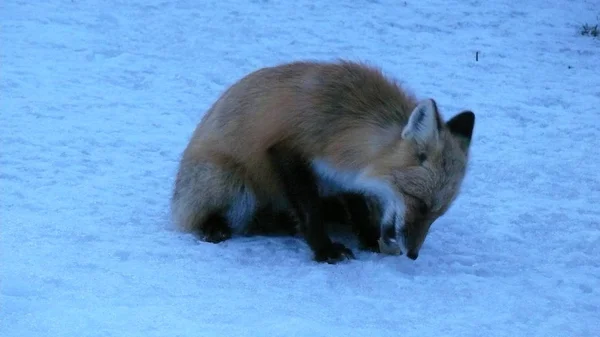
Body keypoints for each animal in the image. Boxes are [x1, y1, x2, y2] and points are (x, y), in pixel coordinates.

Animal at [171, 59, 476, 262]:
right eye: (420, 203)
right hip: (231, 182)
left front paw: (368, 239)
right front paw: (324, 250)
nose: (412, 254)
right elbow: (309, 211)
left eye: (437, 214)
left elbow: (358, 209)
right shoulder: (287, 150)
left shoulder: (342, 176)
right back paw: (216, 228)